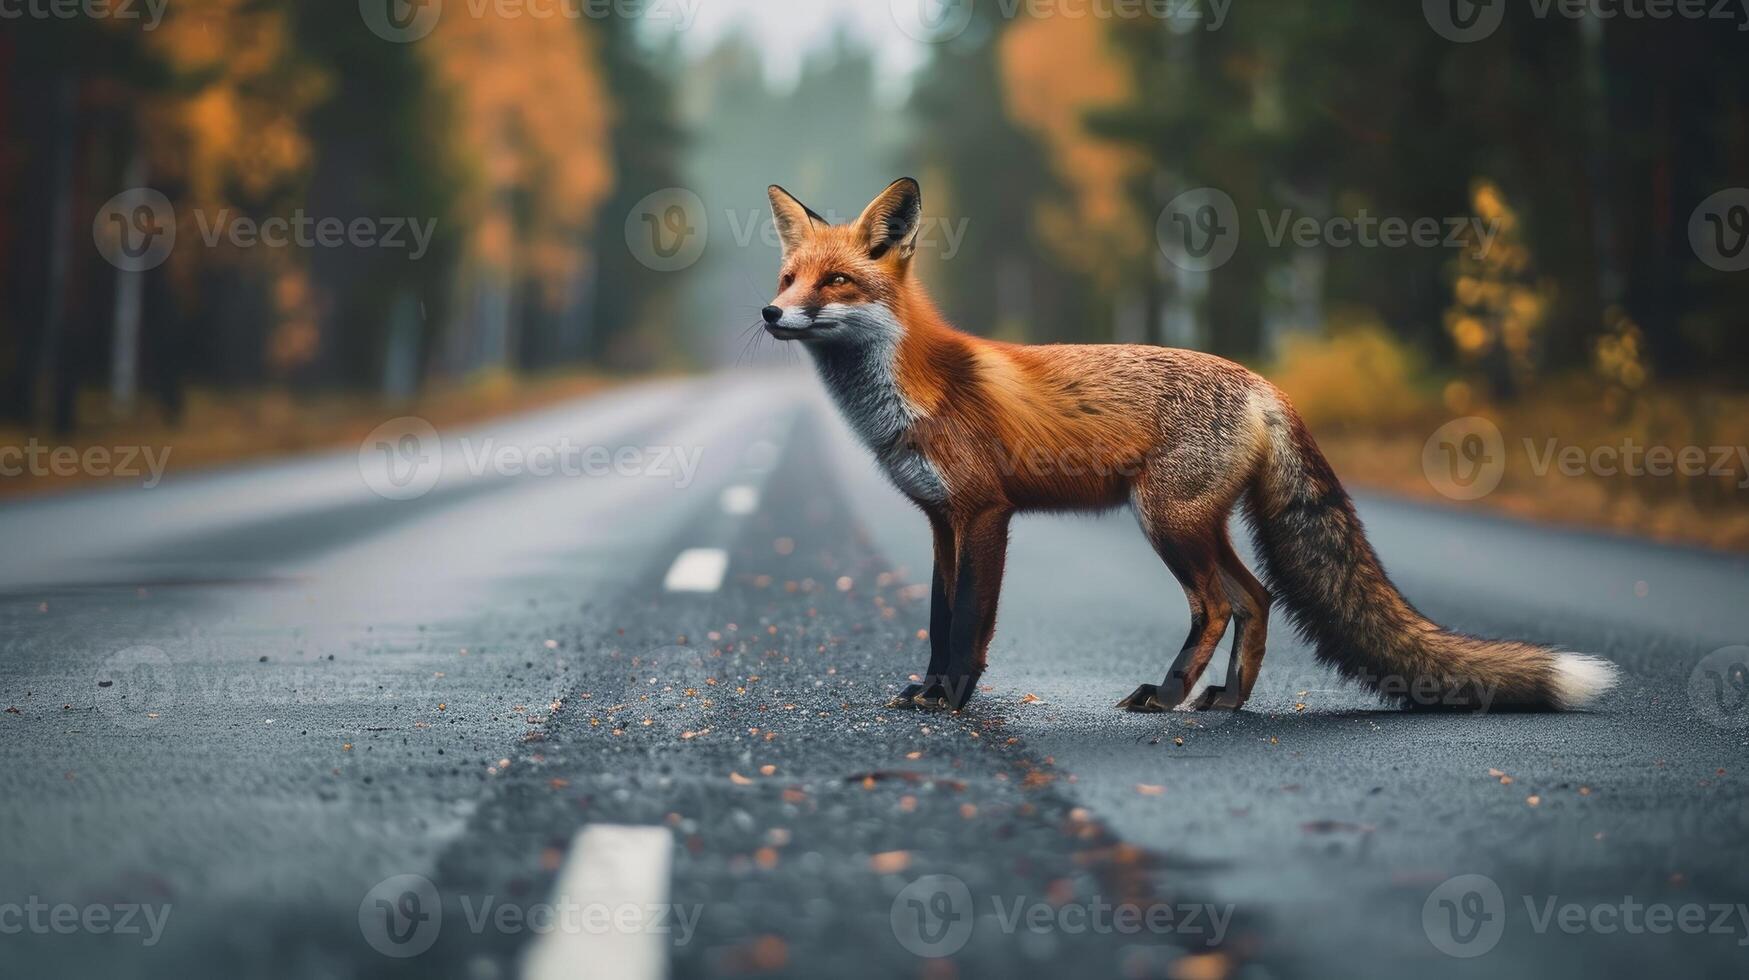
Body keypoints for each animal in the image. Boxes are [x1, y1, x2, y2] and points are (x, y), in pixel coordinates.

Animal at [759, 177, 1616, 710]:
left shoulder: (986, 514)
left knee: (1215, 603)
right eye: (786, 277)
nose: (770, 315)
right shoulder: (941, 521)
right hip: (1195, 523)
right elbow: (939, 618)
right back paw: (1227, 698)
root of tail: (1266, 384)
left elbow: (970, 621)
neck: (911, 389)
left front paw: (955, 698)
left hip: (1165, 520)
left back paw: (1167, 694)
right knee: (1256, 596)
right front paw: (929, 689)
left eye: (835, 282)